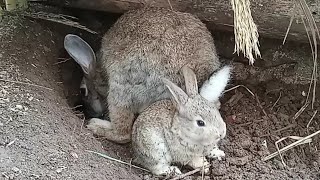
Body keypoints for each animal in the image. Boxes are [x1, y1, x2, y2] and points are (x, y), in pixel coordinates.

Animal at [63, 7, 228, 143]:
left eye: (82, 90)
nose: (88, 111)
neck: (99, 69)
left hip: (121, 86)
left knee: (123, 133)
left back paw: (96, 126)